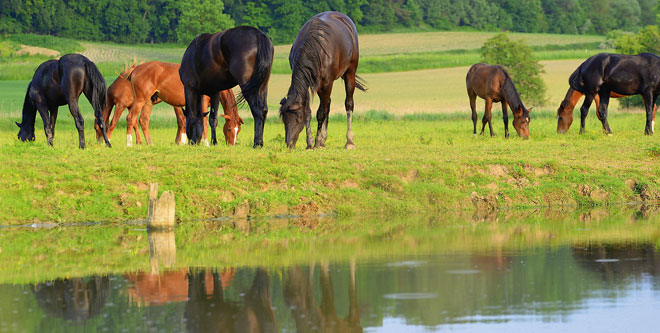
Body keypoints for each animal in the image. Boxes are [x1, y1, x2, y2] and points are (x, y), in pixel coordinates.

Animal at [278, 11, 366, 149]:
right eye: (284, 120)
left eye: (298, 119)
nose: (289, 144)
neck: (316, 50)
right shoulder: (309, 83)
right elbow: (309, 111)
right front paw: (310, 143)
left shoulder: (327, 83)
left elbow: (320, 113)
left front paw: (317, 141)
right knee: (328, 104)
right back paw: (324, 139)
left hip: (349, 73)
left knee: (348, 104)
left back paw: (349, 142)